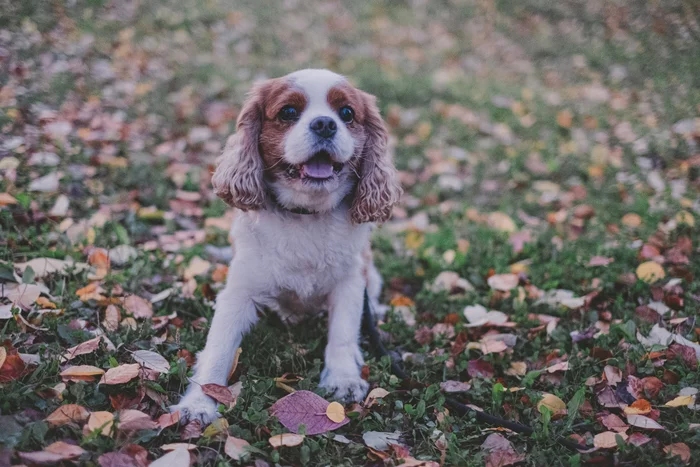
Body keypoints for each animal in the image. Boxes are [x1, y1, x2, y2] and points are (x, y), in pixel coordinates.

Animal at [172, 68, 402, 424]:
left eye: (347, 113)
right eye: (288, 112)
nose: (325, 124)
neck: (306, 215)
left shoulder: (351, 284)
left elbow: (342, 333)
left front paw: (343, 378)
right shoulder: (237, 294)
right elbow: (218, 350)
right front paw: (198, 403)